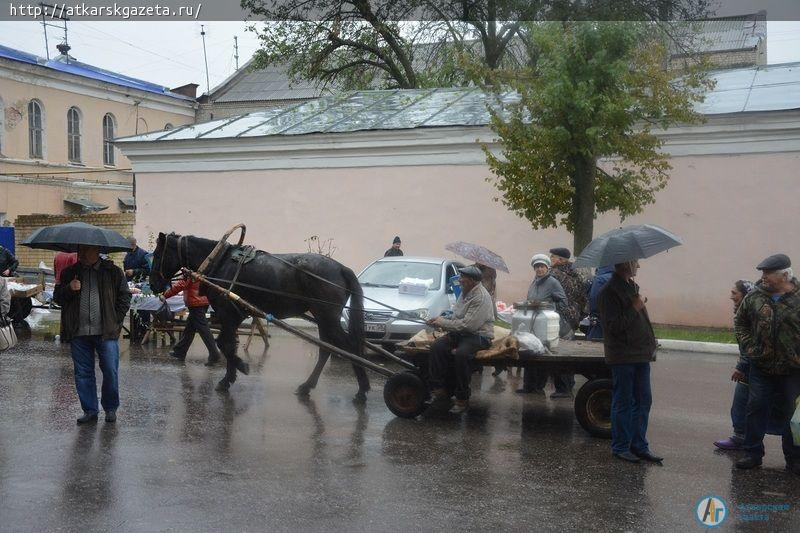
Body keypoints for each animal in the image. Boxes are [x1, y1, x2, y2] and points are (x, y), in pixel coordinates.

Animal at [149, 231, 368, 402]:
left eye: (158, 254)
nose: (153, 284)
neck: (218, 262)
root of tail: (341, 268)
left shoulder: (227, 312)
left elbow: (224, 344)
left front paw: (238, 369)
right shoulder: (234, 315)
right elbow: (229, 344)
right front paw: (229, 377)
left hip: (327, 317)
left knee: (348, 347)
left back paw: (362, 390)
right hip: (324, 319)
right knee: (327, 349)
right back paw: (308, 386)